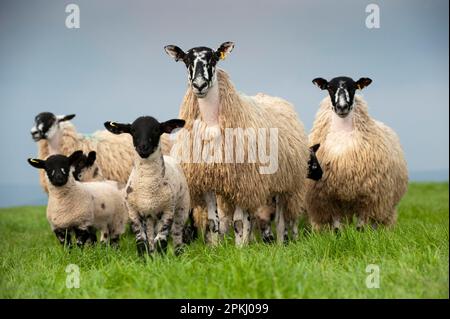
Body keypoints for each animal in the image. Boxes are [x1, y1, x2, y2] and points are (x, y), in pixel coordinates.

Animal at [306, 75, 408, 230]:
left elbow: (361, 227)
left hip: (383, 202)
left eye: (353, 87)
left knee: (376, 223)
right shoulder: (329, 198)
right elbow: (337, 228)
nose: (342, 107)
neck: (343, 136)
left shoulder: (367, 196)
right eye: (329, 87)